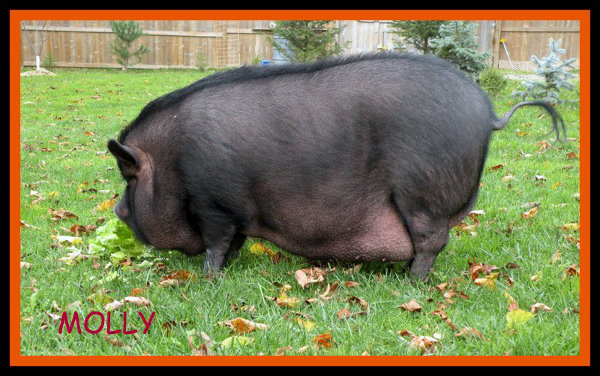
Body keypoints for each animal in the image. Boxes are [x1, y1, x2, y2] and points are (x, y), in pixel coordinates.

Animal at [106, 52, 564, 280]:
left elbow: (216, 245)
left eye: (128, 178)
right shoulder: (235, 213)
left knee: (432, 240)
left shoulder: (214, 204)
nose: (116, 209)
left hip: (421, 190)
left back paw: (409, 282)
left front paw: (208, 278)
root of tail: (489, 115)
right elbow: (232, 244)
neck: (171, 162)